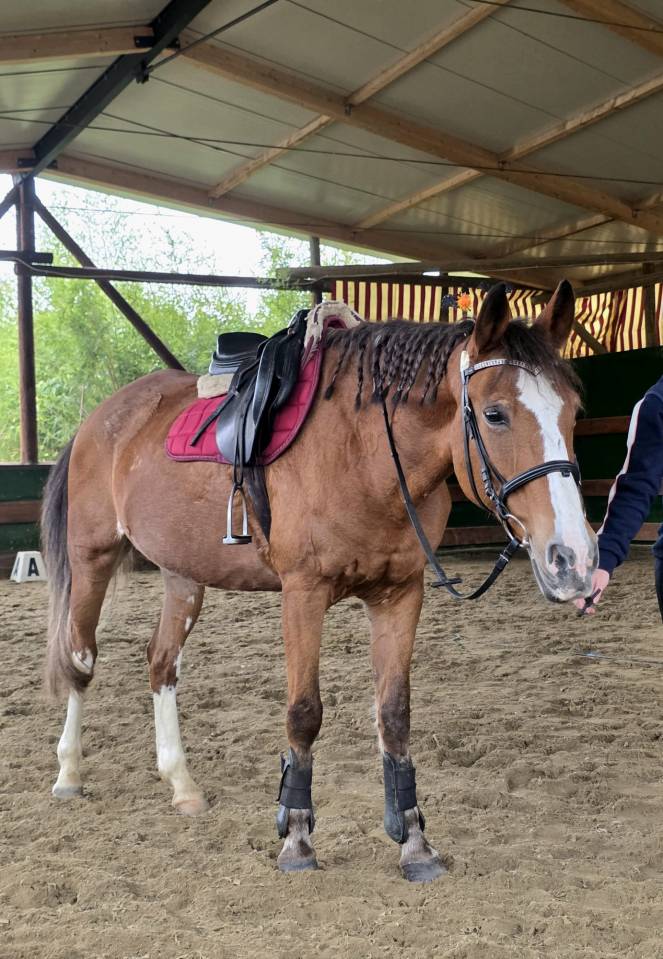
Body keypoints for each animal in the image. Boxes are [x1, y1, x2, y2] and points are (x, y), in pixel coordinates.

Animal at [42, 280, 596, 882]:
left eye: (573, 411)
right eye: (494, 415)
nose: (574, 559)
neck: (364, 453)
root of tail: (99, 420)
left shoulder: (400, 594)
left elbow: (394, 714)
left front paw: (414, 841)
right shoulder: (302, 595)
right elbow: (304, 714)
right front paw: (297, 837)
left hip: (181, 576)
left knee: (161, 664)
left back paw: (182, 785)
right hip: (92, 560)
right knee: (81, 659)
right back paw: (68, 774)